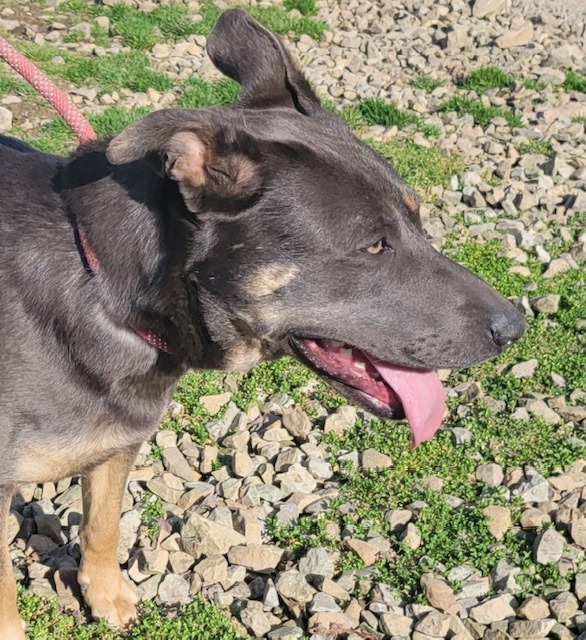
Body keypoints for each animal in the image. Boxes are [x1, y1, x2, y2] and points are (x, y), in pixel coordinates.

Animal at [0, 7, 524, 636]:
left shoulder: (117, 445)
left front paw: (106, 595)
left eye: (418, 222)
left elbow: (103, 525)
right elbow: (5, 588)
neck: (103, 285)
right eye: (374, 245)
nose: (515, 327)